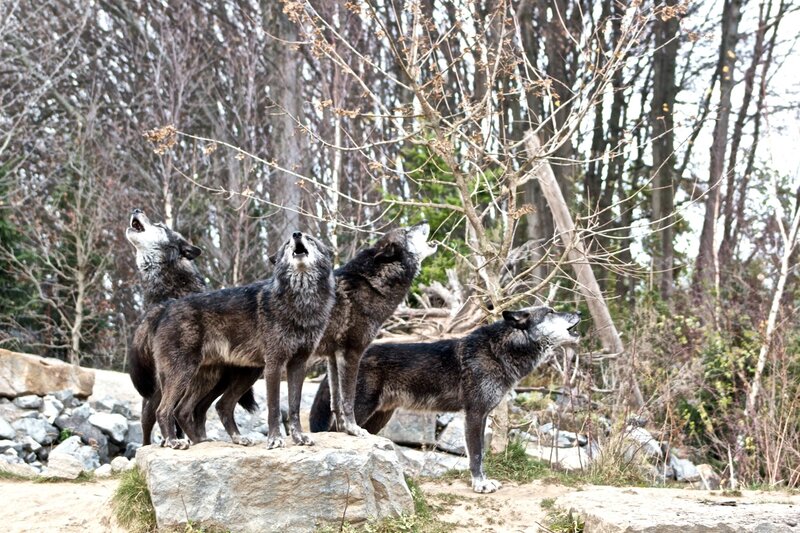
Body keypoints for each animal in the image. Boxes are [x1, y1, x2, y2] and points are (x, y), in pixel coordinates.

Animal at [125, 209, 258, 445]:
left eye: (160, 225)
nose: (136, 209)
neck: (169, 292)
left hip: (214, 381)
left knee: (196, 411)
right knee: (152, 420)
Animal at [147, 231, 335, 449]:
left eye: (310, 238)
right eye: (288, 242)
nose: (296, 234)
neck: (301, 299)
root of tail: (165, 308)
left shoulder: (298, 364)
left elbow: (294, 407)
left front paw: (299, 438)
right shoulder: (274, 365)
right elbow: (274, 408)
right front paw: (275, 439)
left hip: (227, 377)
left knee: (200, 408)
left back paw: (211, 441)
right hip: (185, 374)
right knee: (164, 409)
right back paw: (173, 441)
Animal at [310, 306, 581, 493]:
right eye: (551, 312)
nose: (578, 312)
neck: (498, 351)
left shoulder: (482, 416)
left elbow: (480, 453)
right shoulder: (473, 414)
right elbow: (476, 455)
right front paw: (479, 485)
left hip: (377, 420)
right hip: (361, 412)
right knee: (335, 431)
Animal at [311, 222, 437, 437]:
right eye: (406, 231)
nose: (424, 222)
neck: (371, 284)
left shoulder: (333, 355)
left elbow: (337, 402)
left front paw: (344, 430)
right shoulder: (351, 352)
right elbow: (347, 400)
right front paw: (353, 429)